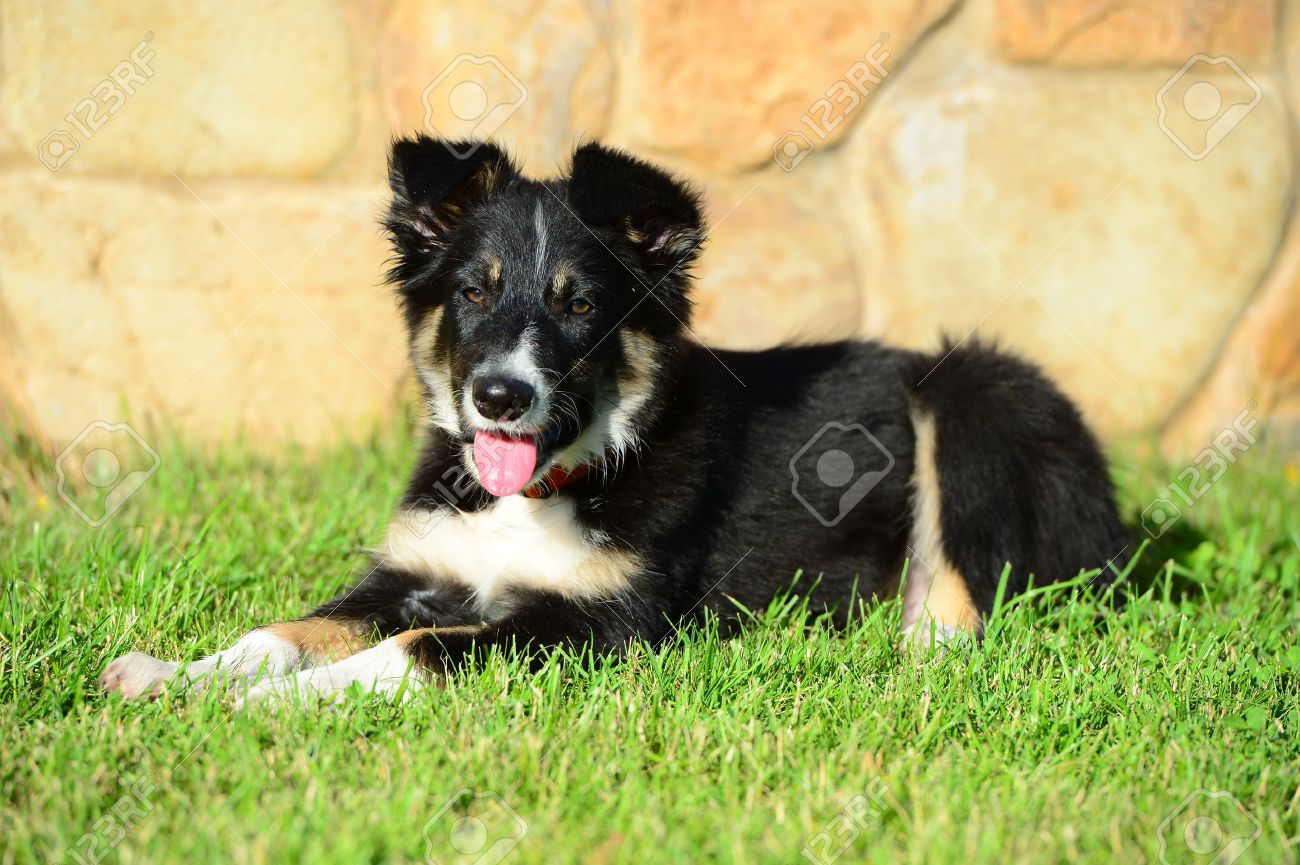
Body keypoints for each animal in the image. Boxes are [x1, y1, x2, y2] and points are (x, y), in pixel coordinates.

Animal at [101, 136, 1128, 702]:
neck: (541, 488)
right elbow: (284, 631)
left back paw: (894, 649)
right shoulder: (415, 569)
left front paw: (272, 705)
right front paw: (175, 676)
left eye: (581, 306)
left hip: (973, 387)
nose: (500, 397)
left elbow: (412, 651)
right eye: (474, 293)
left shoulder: (602, 624)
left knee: (961, 609)